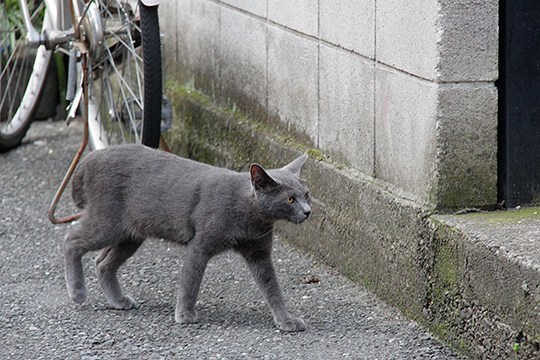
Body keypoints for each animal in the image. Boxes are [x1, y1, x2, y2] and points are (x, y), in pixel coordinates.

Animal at [62, 143, 310, 332]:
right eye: (290, 199)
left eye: (307, 195)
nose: (308, 211)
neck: (252, 217)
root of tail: (92, 157)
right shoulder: (200, 245)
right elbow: (191, 281)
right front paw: (184, 314)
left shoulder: (259, 252)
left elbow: (272, 287)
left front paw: (286, 320)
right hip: (107, 223)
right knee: (71, 241)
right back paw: (77, 292)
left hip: (131, 234)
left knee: (102, 262)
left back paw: (118, 300)